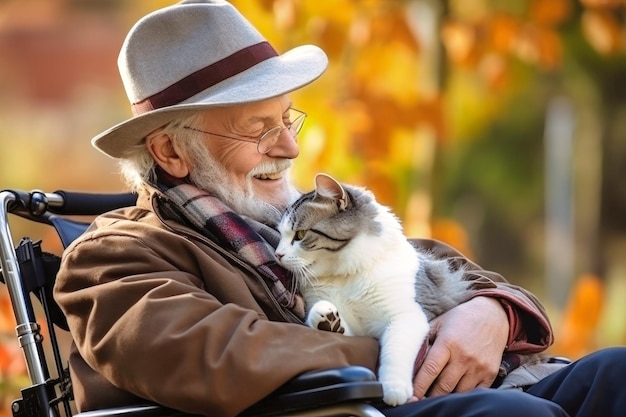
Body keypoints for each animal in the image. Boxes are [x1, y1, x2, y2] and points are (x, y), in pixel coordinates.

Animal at [274, 172, 472, 406]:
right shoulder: (357, 330)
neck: (345, 274)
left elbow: (395, 350)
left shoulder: (405, 316)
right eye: (280, 235)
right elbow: (337, 327)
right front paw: (328, 322)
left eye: (300, 234)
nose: (277, 254)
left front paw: (394, 389)